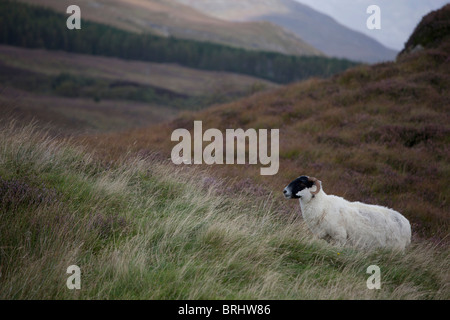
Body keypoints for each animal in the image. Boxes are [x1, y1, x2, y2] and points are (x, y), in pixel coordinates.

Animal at [284, 175, 412, 250]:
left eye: (301, 183)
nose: (284, 191)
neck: (323, 205)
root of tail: (407, 224)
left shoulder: (339, 238)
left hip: (396, 248)